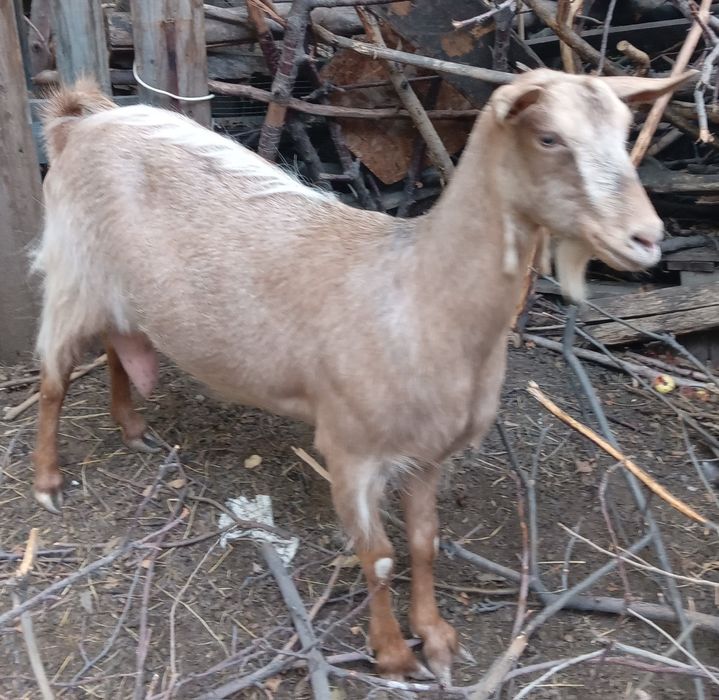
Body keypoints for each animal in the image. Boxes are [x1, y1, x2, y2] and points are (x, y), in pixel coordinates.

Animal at [31, 69, 691, 683]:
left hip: (116, 289)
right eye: (549, 137)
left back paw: (132, 427)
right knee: (54, 378)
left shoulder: (428, 453)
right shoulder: (350, 448)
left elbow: (424, 543)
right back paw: (48, 480)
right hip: (70, 270)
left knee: (116, 343)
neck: (420, 293)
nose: (647, 237)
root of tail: (80, 121)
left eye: (625, 132)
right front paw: (395, 655)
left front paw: (437, 638)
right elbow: (378, 556)